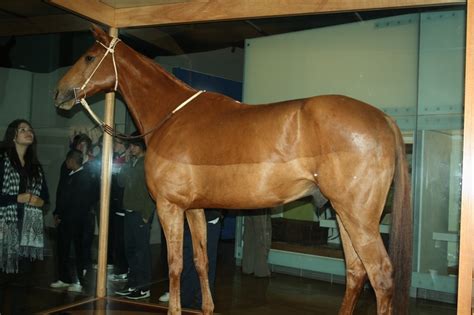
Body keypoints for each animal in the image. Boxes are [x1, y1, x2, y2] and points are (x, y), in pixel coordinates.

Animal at [53, 25, 412, 315]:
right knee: (356, 271)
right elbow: (200, 262)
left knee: (380, 275)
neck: (172, 117)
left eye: (88, 57)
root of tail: (382, 118)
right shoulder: (194, 209)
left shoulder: (170, 207)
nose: (59, 93)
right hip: (344, 214)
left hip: (358, 217)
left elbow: (174, 265)